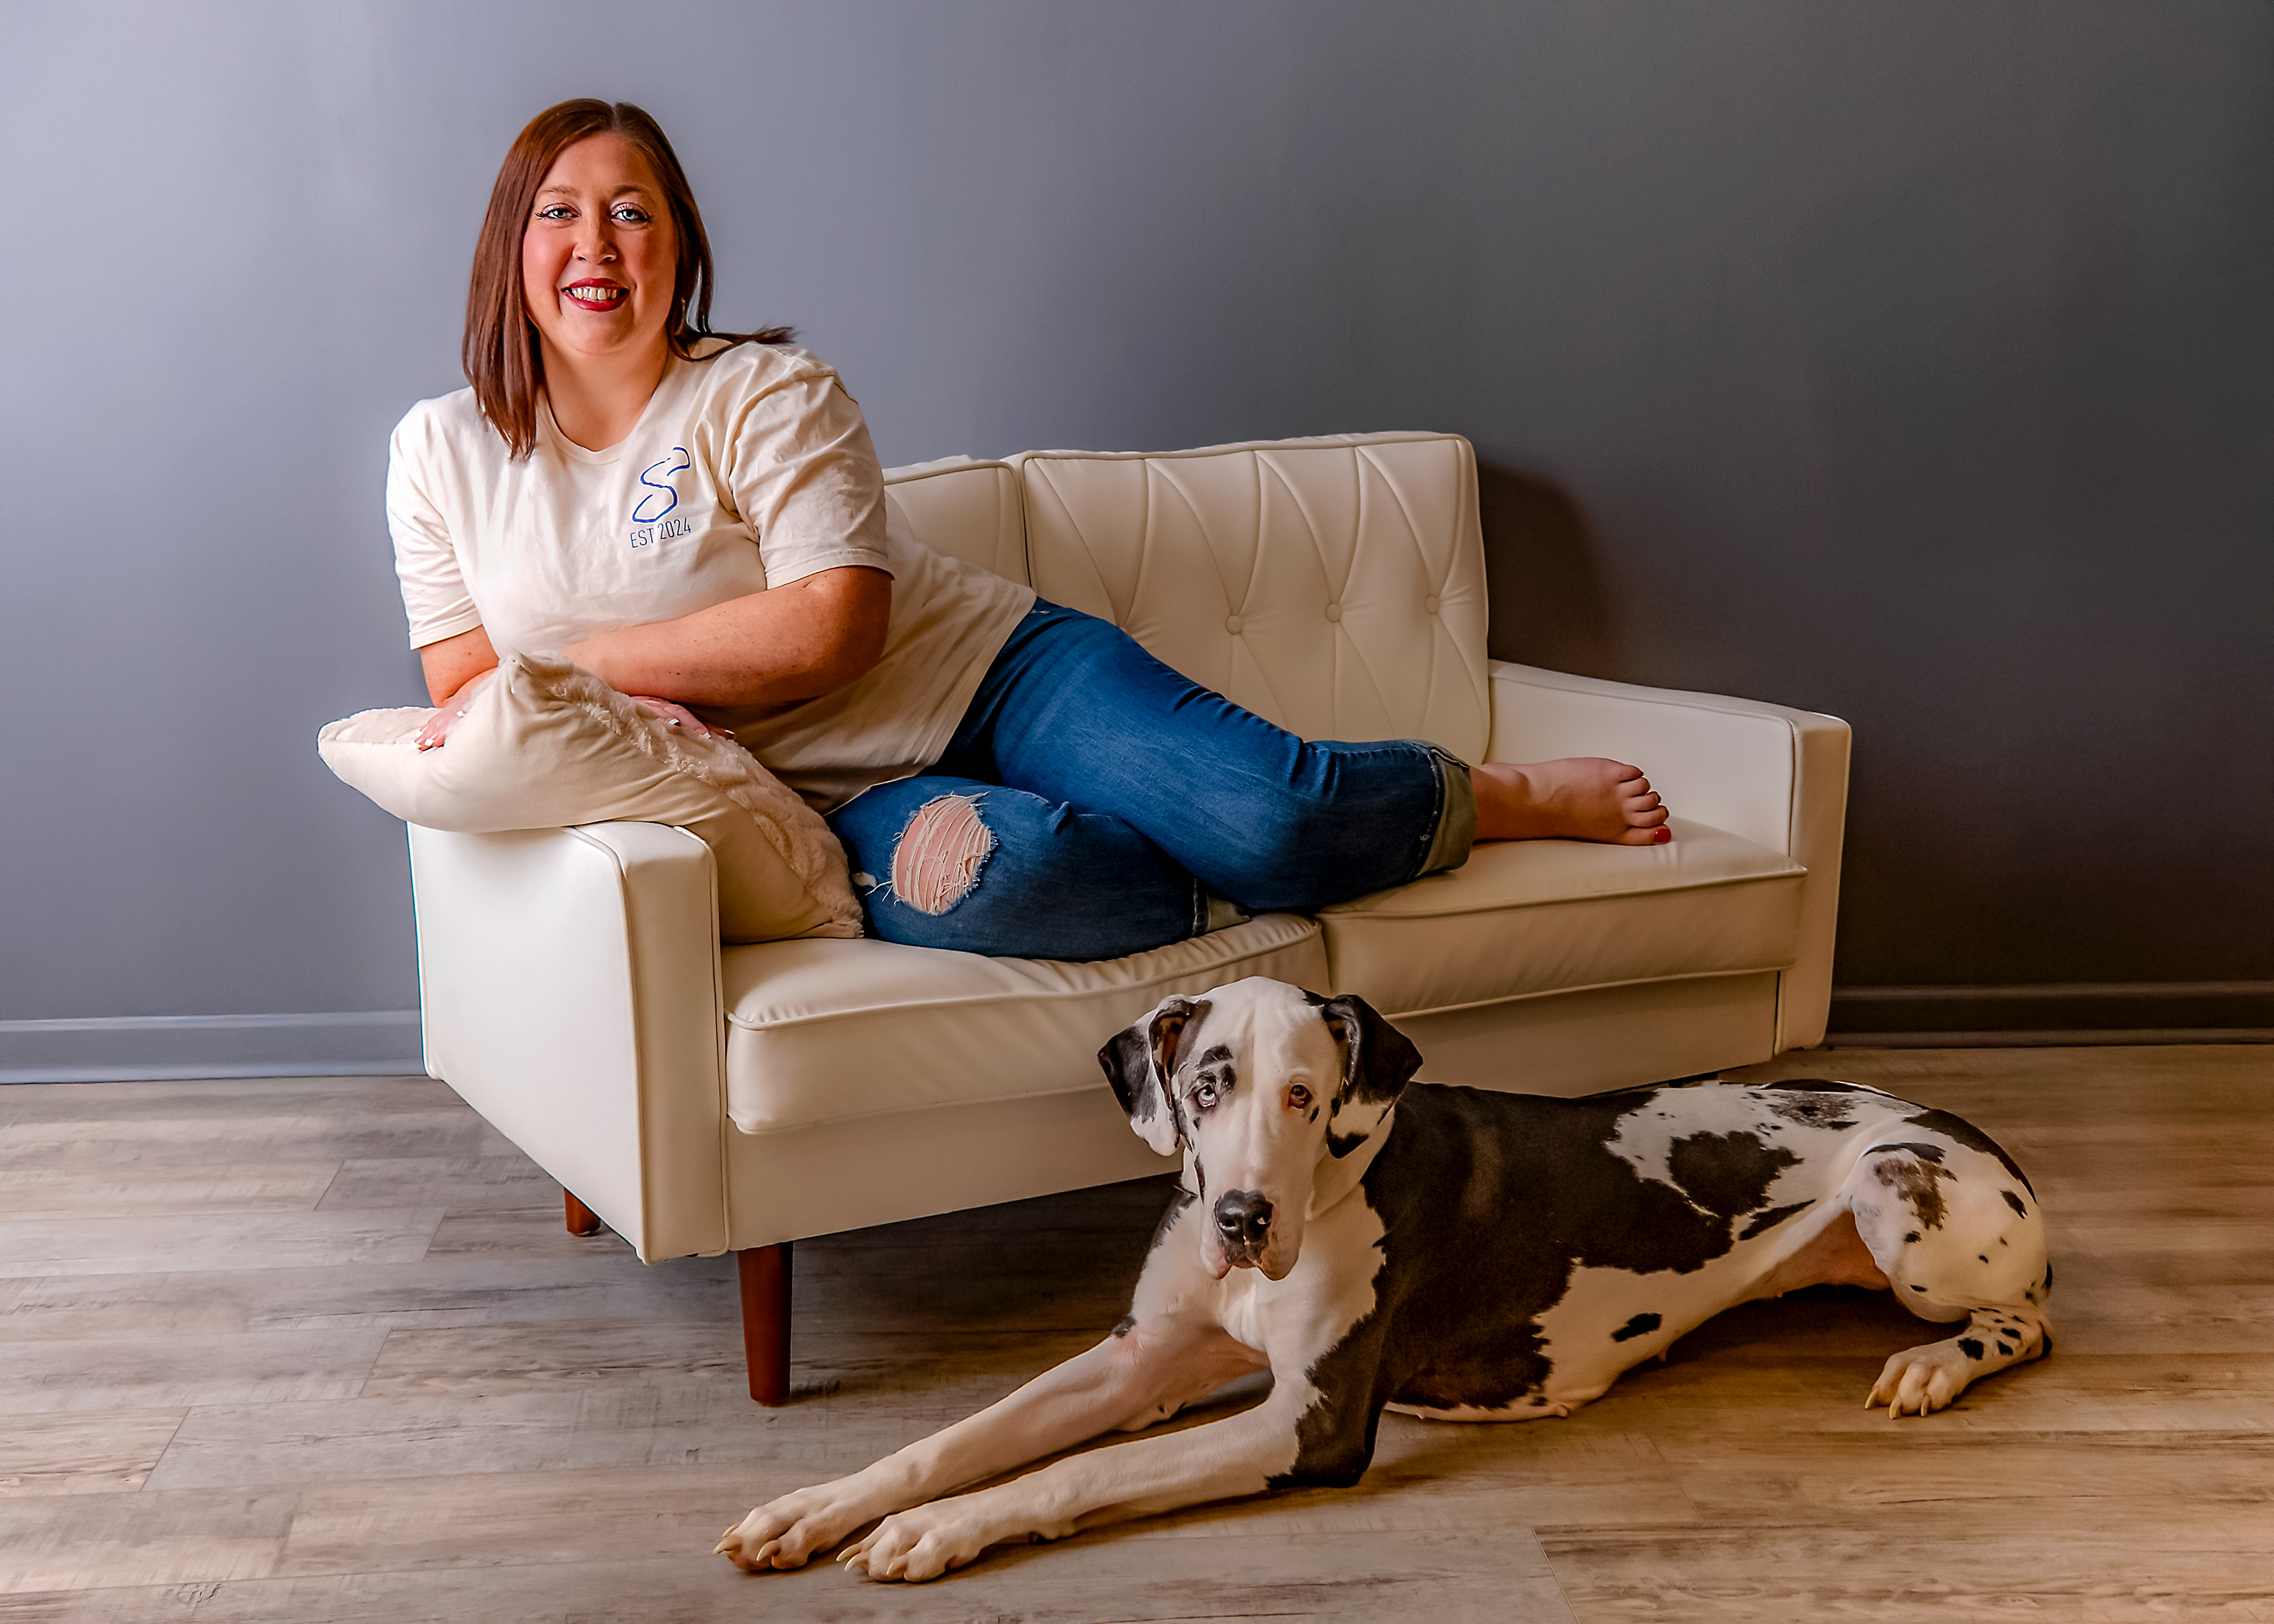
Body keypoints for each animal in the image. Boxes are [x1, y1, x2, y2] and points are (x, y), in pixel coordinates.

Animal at [718, 976, 2051, 1582]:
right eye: (1205, 1084)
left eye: (1307, 1095)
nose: (1242, 1217)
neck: (1326, 1191)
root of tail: (1947, 1114)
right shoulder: (1143, 1358)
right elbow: (956, 1438)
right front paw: (823, 1505)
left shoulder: (1307, 1425)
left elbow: (1078, 1470)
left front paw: (936, 1530)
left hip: (1900, 1190)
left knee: (2028, 1323)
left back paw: (1935, 1366)